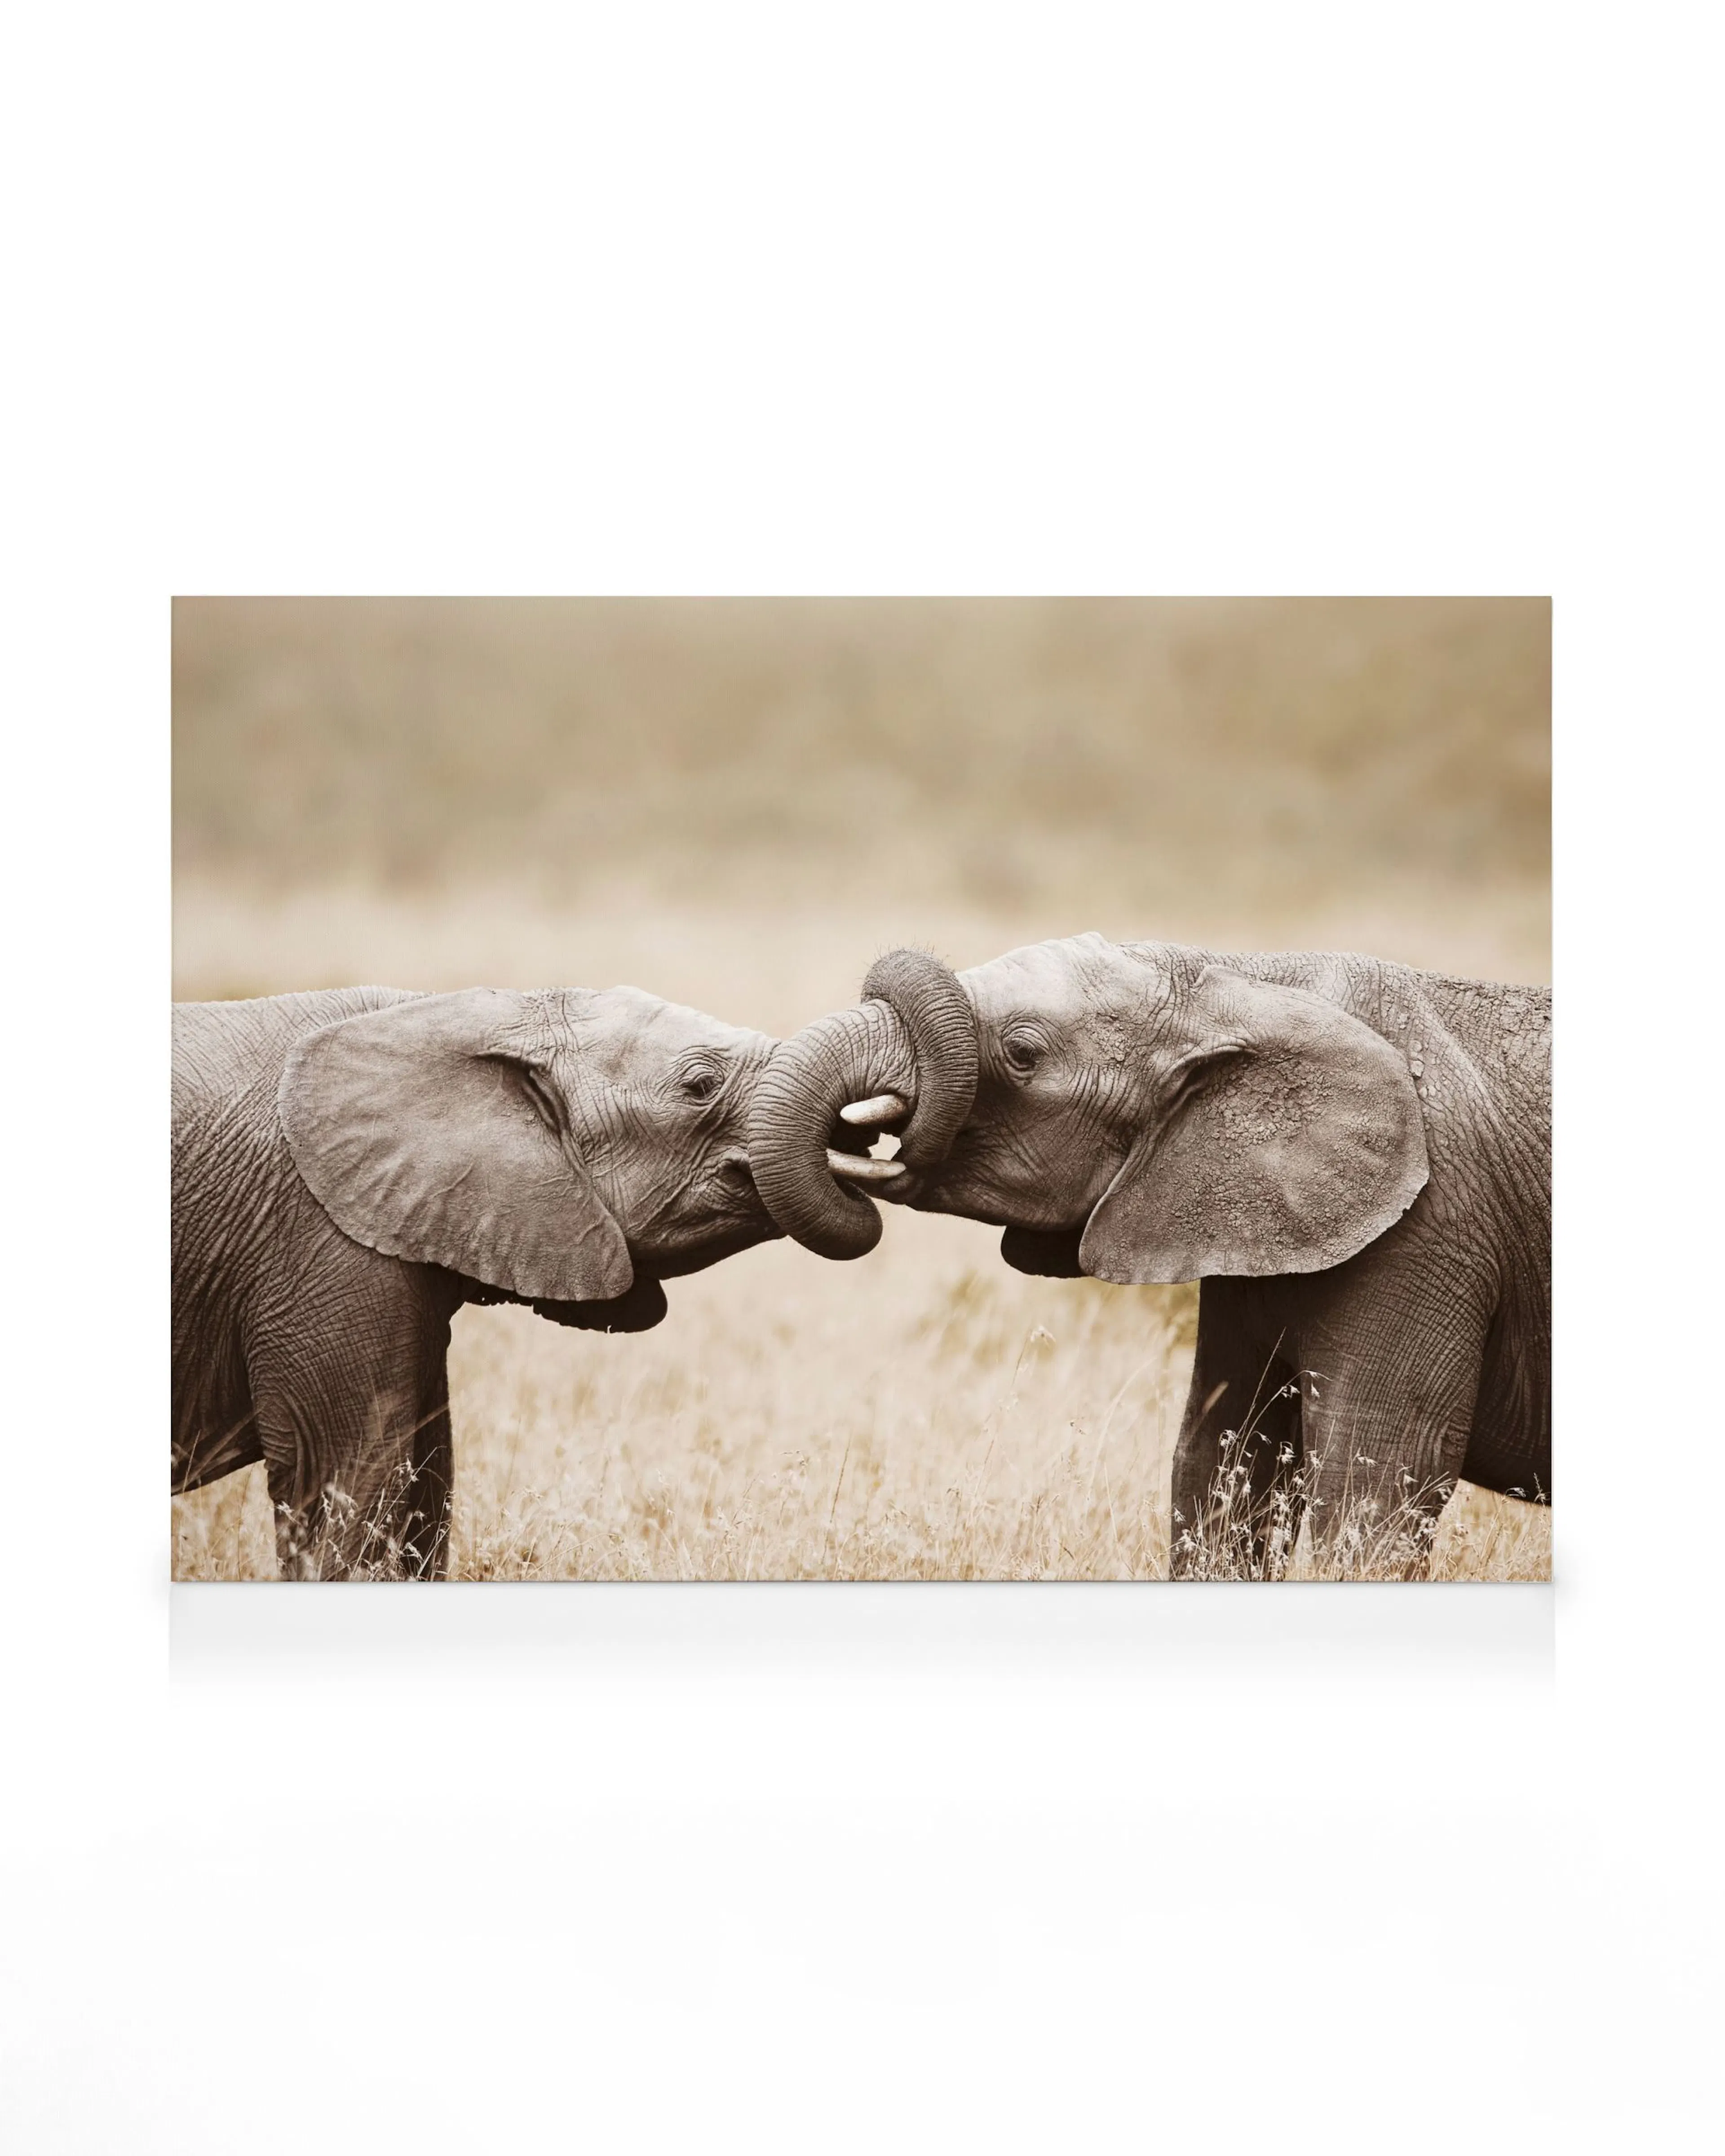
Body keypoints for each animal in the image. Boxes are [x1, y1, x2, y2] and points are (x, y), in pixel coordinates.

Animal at [750, 938, 1550, 1578]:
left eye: (1023, 1054)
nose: (857, 1140)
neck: (1243, 979)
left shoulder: (1429, 1233)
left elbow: (1377, 1482)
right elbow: (1223, 1463)